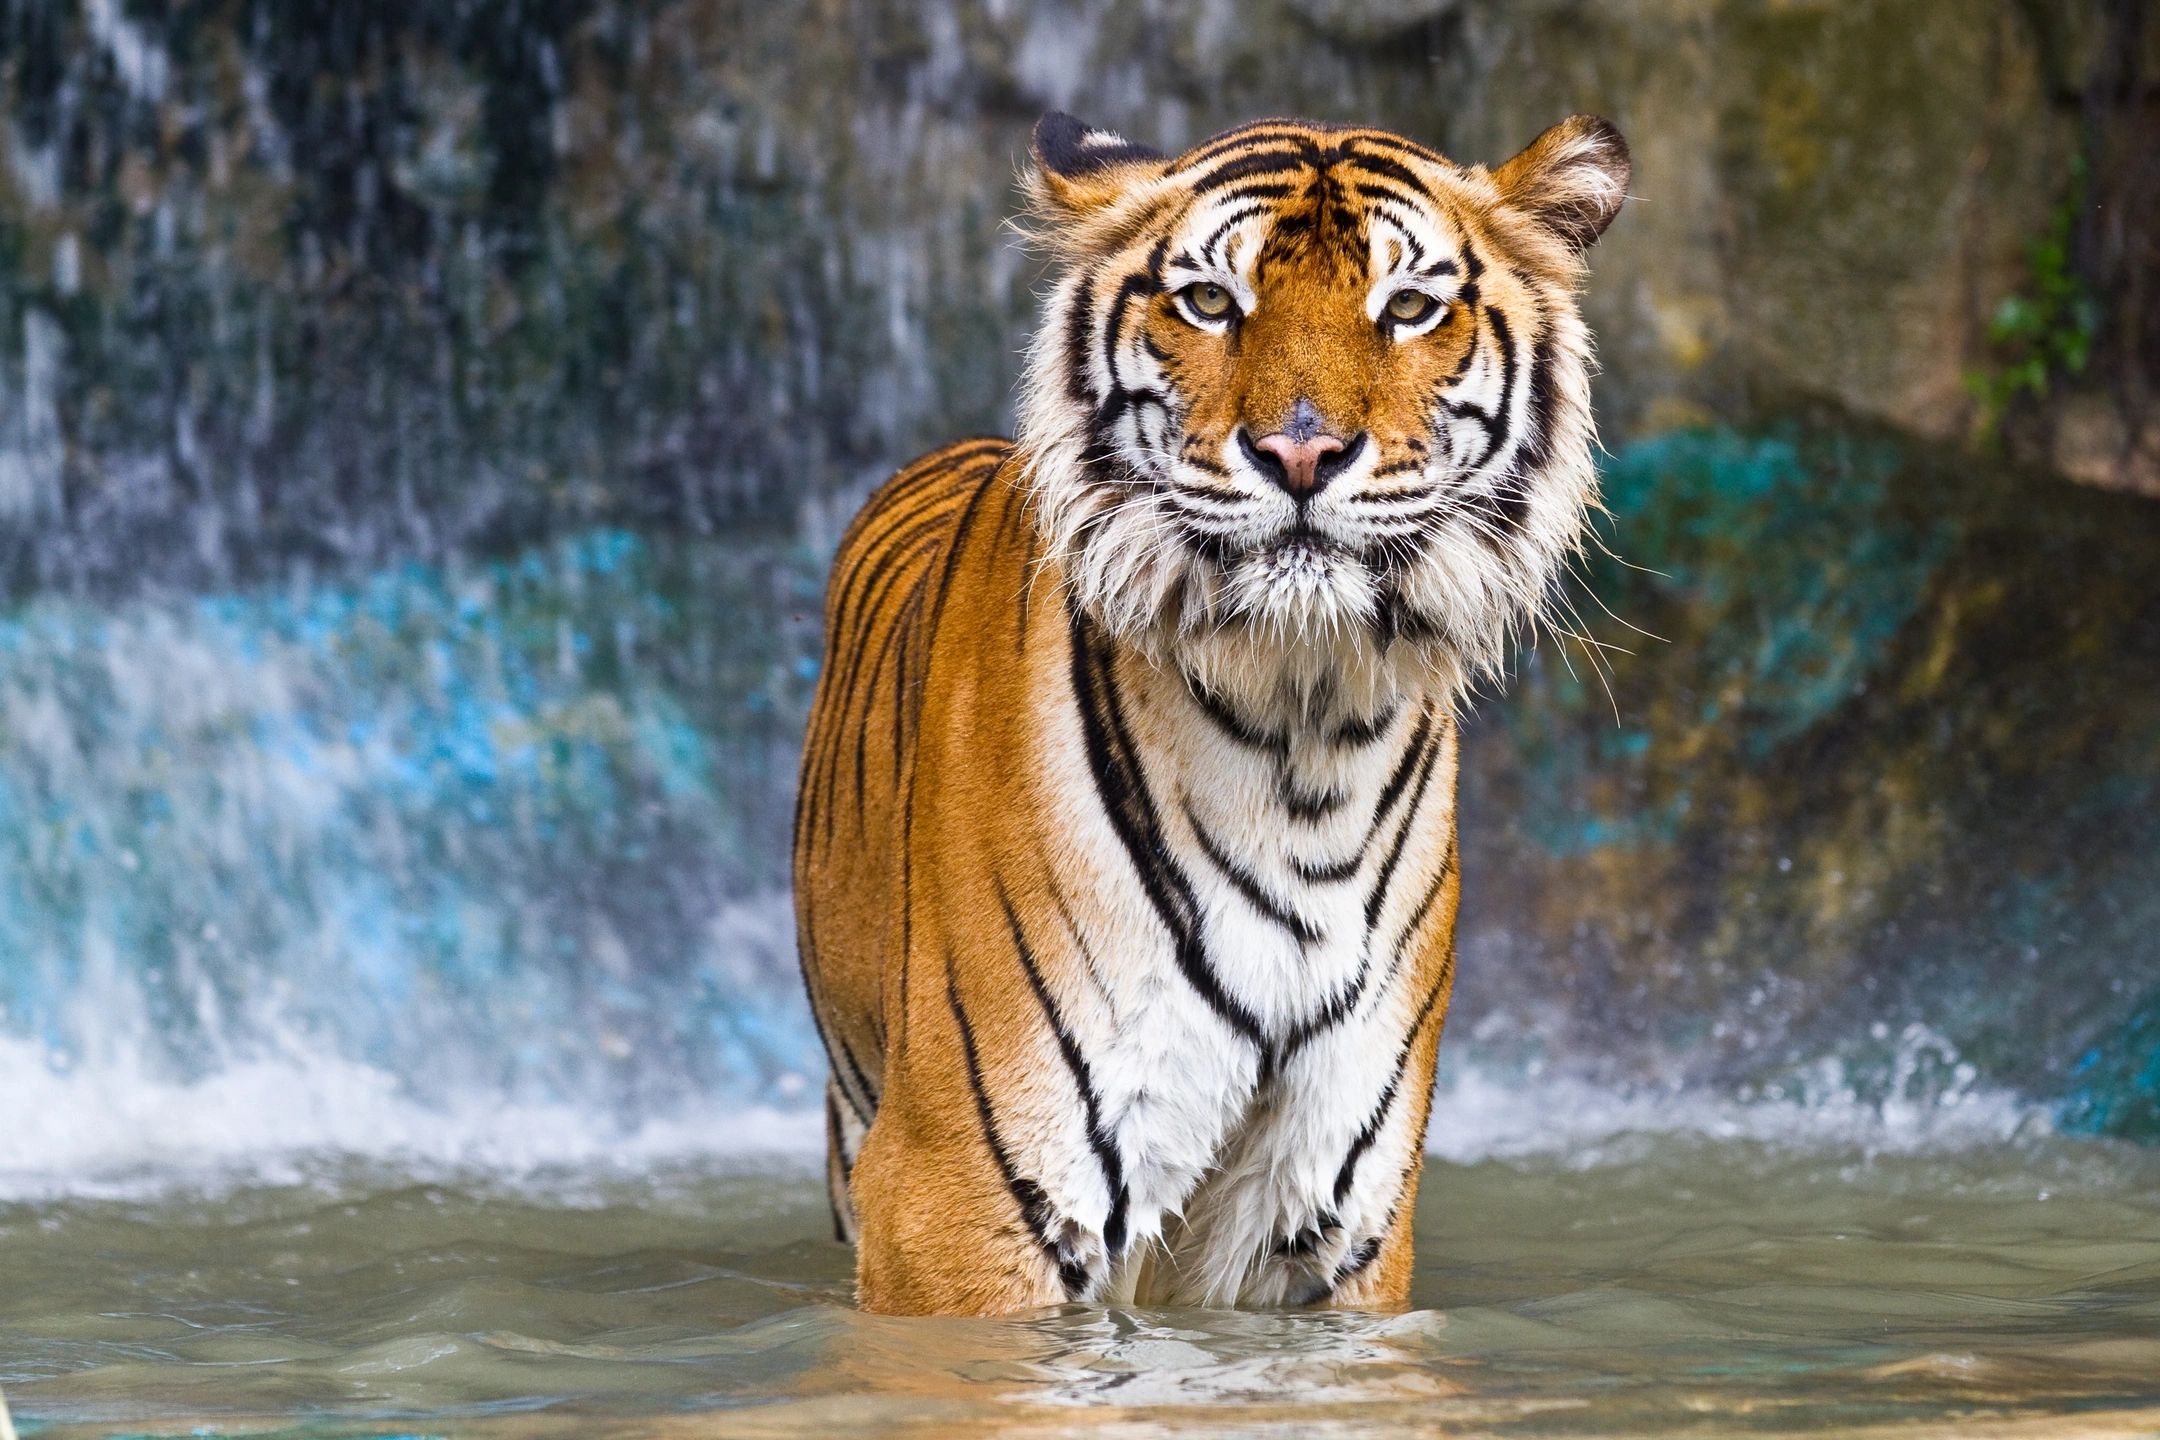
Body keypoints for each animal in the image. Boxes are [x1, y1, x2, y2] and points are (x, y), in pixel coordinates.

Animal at [803, 106, 1624, 1312]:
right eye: (1209, 301)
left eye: (1408, 308)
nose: (1301, 452)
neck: (1302, 734)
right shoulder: (962, 1193)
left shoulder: (1330, 1210)